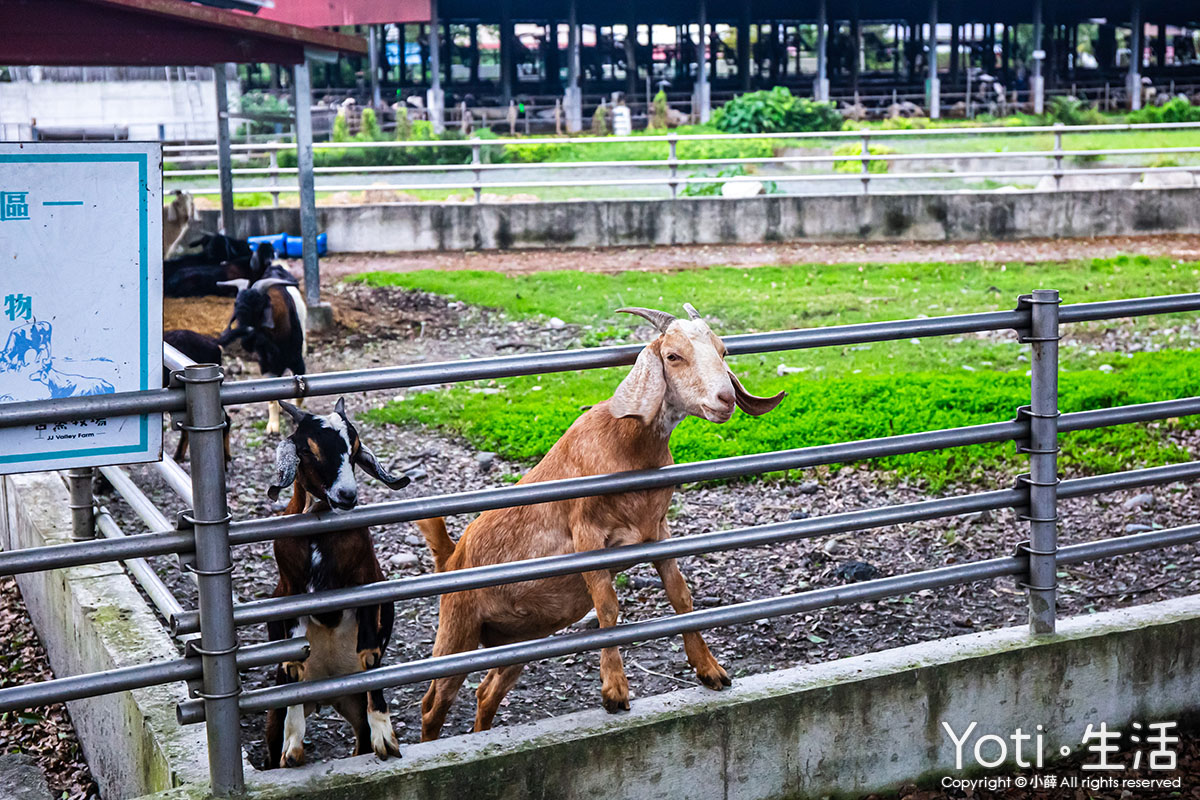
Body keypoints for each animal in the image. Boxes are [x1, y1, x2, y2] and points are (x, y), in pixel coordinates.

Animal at [262, 400, 412, 767]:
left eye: (355, 451)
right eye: (307, 449)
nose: (347, 495)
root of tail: (327, 696)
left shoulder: (366, 587)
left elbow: (370, 654)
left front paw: (386, 736)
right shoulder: (291, 592)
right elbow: (294, 664)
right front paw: (293, 744)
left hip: (353, 702)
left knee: (361, 739)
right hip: (273, 713)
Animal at [415, 304, 787, 738]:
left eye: (723, 351)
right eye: (673, 356)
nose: (725, 399)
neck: (626, 445)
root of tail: (451, 557)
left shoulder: (657, 531)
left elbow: (681, 595)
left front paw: (711, 671)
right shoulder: (587, 536)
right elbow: (607, 606)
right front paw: (614, 693)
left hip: (520, 638)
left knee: (486, 692)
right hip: (458, 628)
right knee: (433, 703)